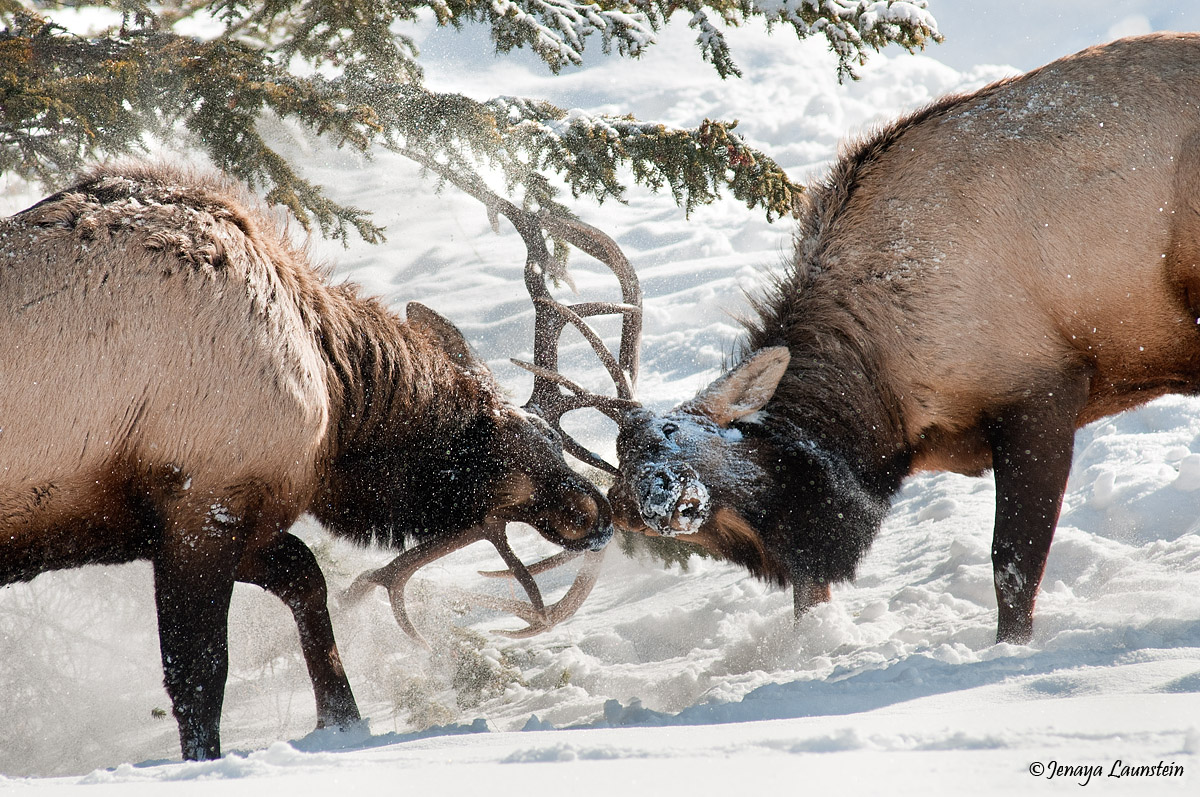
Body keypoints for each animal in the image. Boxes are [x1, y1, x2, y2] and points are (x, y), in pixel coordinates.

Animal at [0, 163, 614, 762]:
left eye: (553, 440)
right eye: (510, 442)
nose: (595, 511)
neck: (331, 392)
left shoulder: (234, 517)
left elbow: (307, 578)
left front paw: (342, 720)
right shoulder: (203, 506)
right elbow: (198, 676)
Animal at [542, 32, 1200, 647]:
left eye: (672, 432)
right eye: (624, 473)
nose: (657, 501)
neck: (885, 406)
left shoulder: (1040, 387)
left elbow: (1012, 567)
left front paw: (1007, 655)